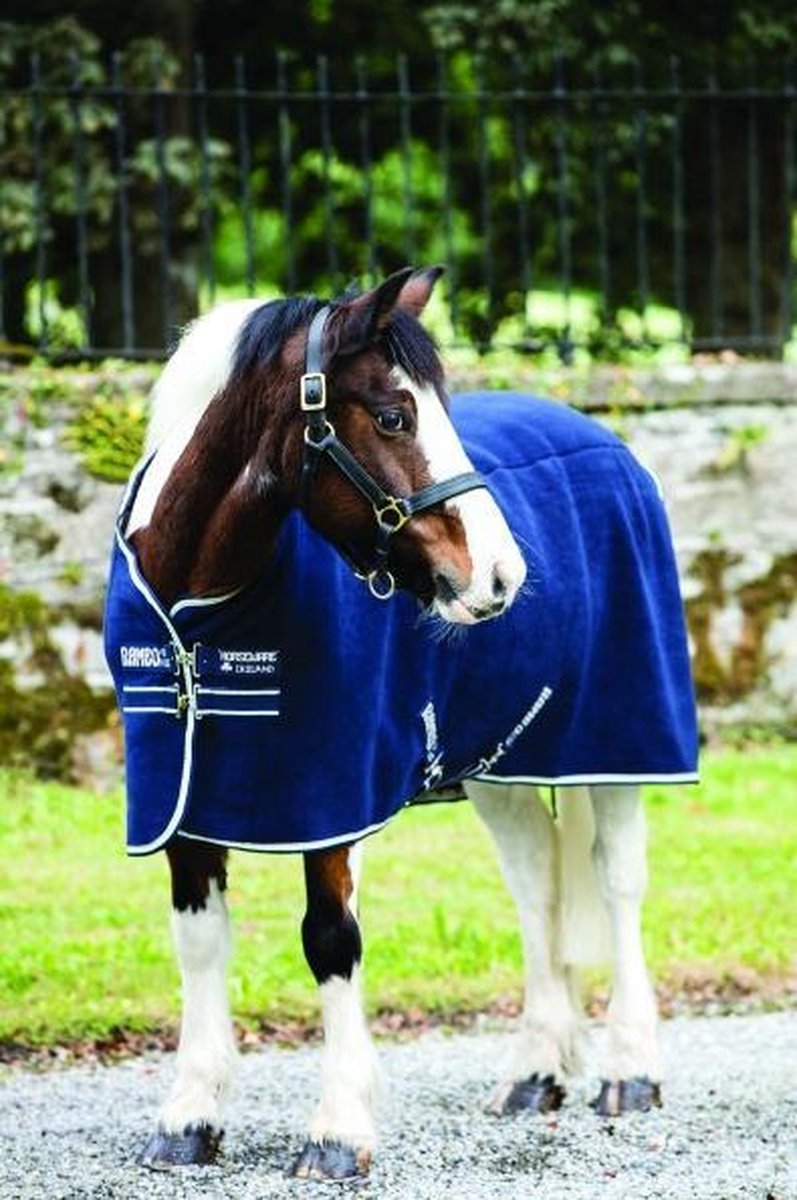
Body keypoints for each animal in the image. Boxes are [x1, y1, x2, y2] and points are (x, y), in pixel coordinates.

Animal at [103, 266, 698, 1181]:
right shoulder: (179, 794)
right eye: (393, 416)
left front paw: (338, 1130)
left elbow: (329, 939)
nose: (500, 574)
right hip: (497, 761)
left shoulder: (330, 788)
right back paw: (534, 1071)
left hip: (617, 737)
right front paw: (190, 1117)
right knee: (535, 883)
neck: (202, 610)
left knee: (617, 880)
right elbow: (199, 940)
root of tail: (600, 438)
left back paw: (629, 1070)